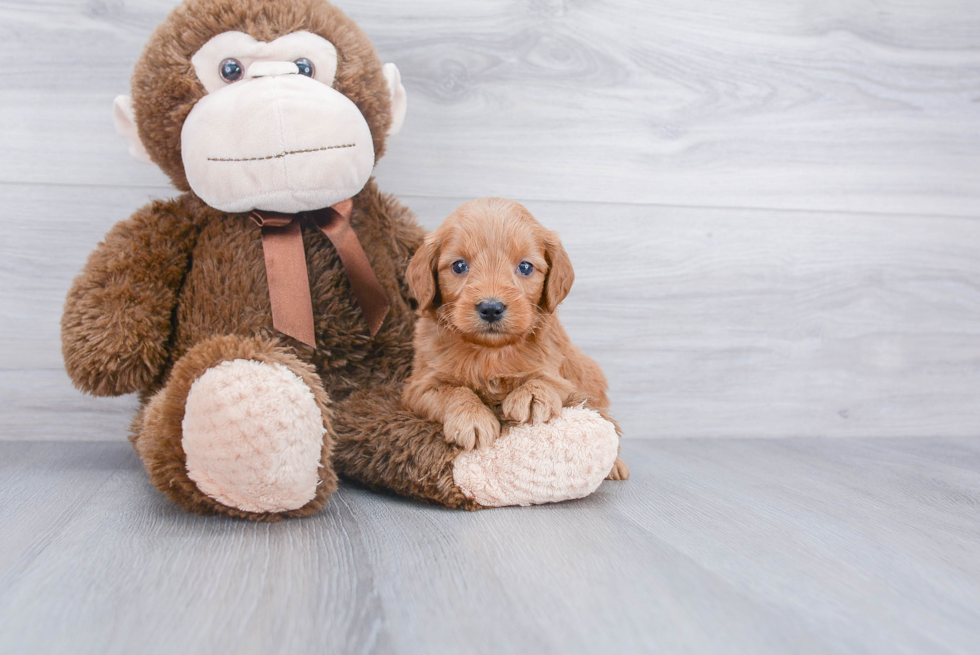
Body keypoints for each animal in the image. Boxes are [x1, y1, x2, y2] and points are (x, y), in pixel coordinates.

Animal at [404, 196, 628, 482]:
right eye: (459, 266)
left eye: (525, 267)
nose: (491, 308)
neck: (490, 352)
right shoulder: (419, 387)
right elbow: (453, 391)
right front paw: (472, 418)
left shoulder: (561, 377)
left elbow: (545, 380)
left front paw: (531, 396)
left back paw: (616, 465)